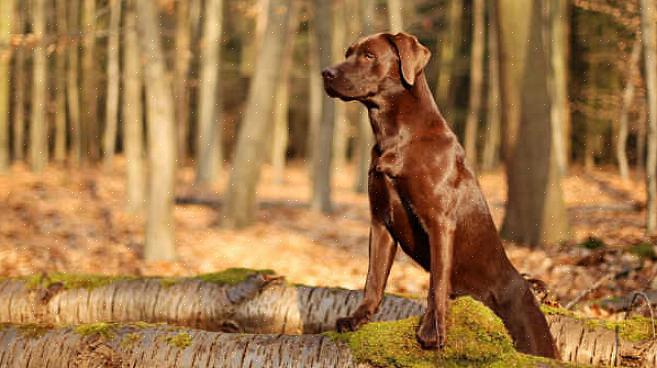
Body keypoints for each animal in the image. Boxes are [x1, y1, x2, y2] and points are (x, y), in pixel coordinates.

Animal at [320, 33, 556, 358]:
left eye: (369, 55)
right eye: (348, 53)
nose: (325, 73)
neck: (396, 136)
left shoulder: (439, 221)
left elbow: (437, 282)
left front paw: (432, 331)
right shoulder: (380, 222)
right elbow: (374, 279)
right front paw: (358, 317)